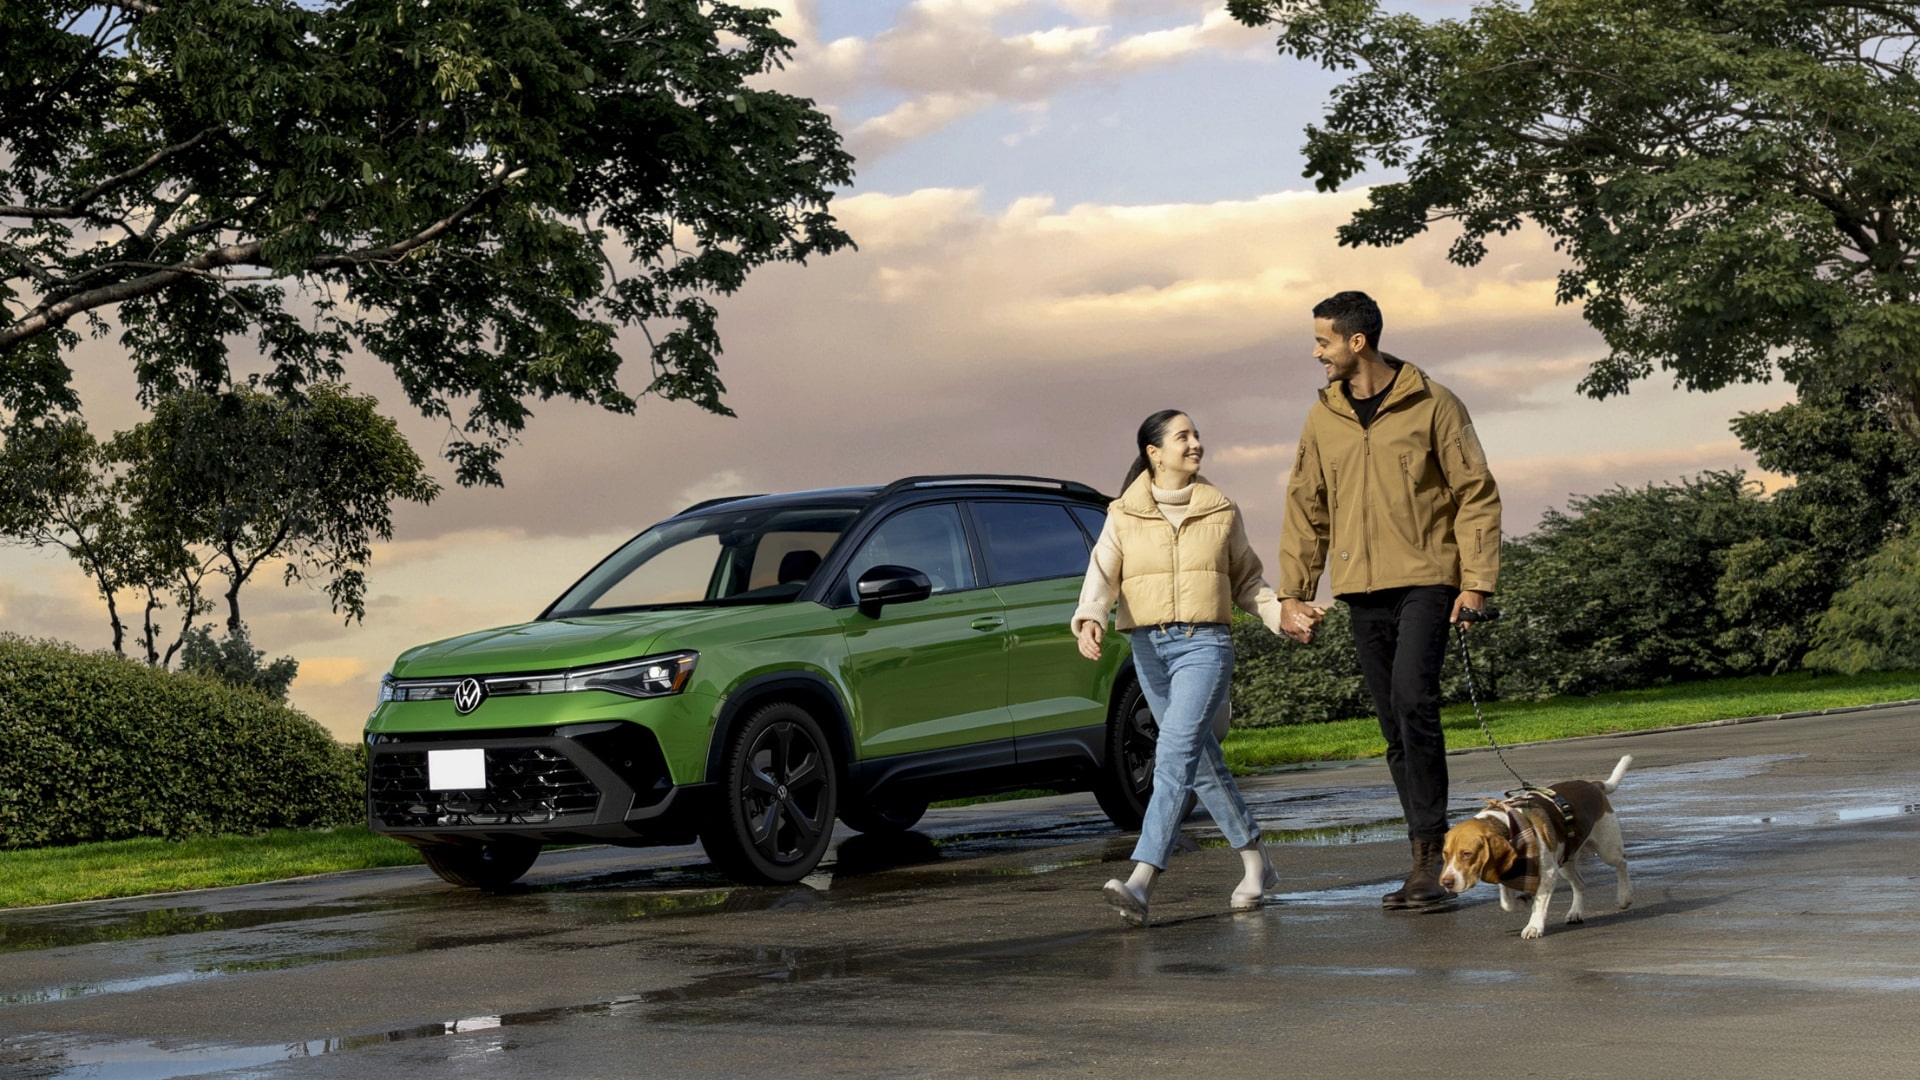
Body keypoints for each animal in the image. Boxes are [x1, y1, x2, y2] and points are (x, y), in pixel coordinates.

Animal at [1443, 753, 1635, 937]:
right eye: (1445, 854)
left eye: (1467, 854)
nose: (1446, 882)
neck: (1510, 825)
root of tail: (1593, 785)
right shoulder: (1505, 874)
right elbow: (1507, 903)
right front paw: (1523, 901)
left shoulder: (1548, 874)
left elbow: (1539, 902)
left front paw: (1534, 927)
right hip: (1565, 861)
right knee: (1580, 884)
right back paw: (1576, 912)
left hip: (1606, 849)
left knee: (1622, 864)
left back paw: (1624, 896)